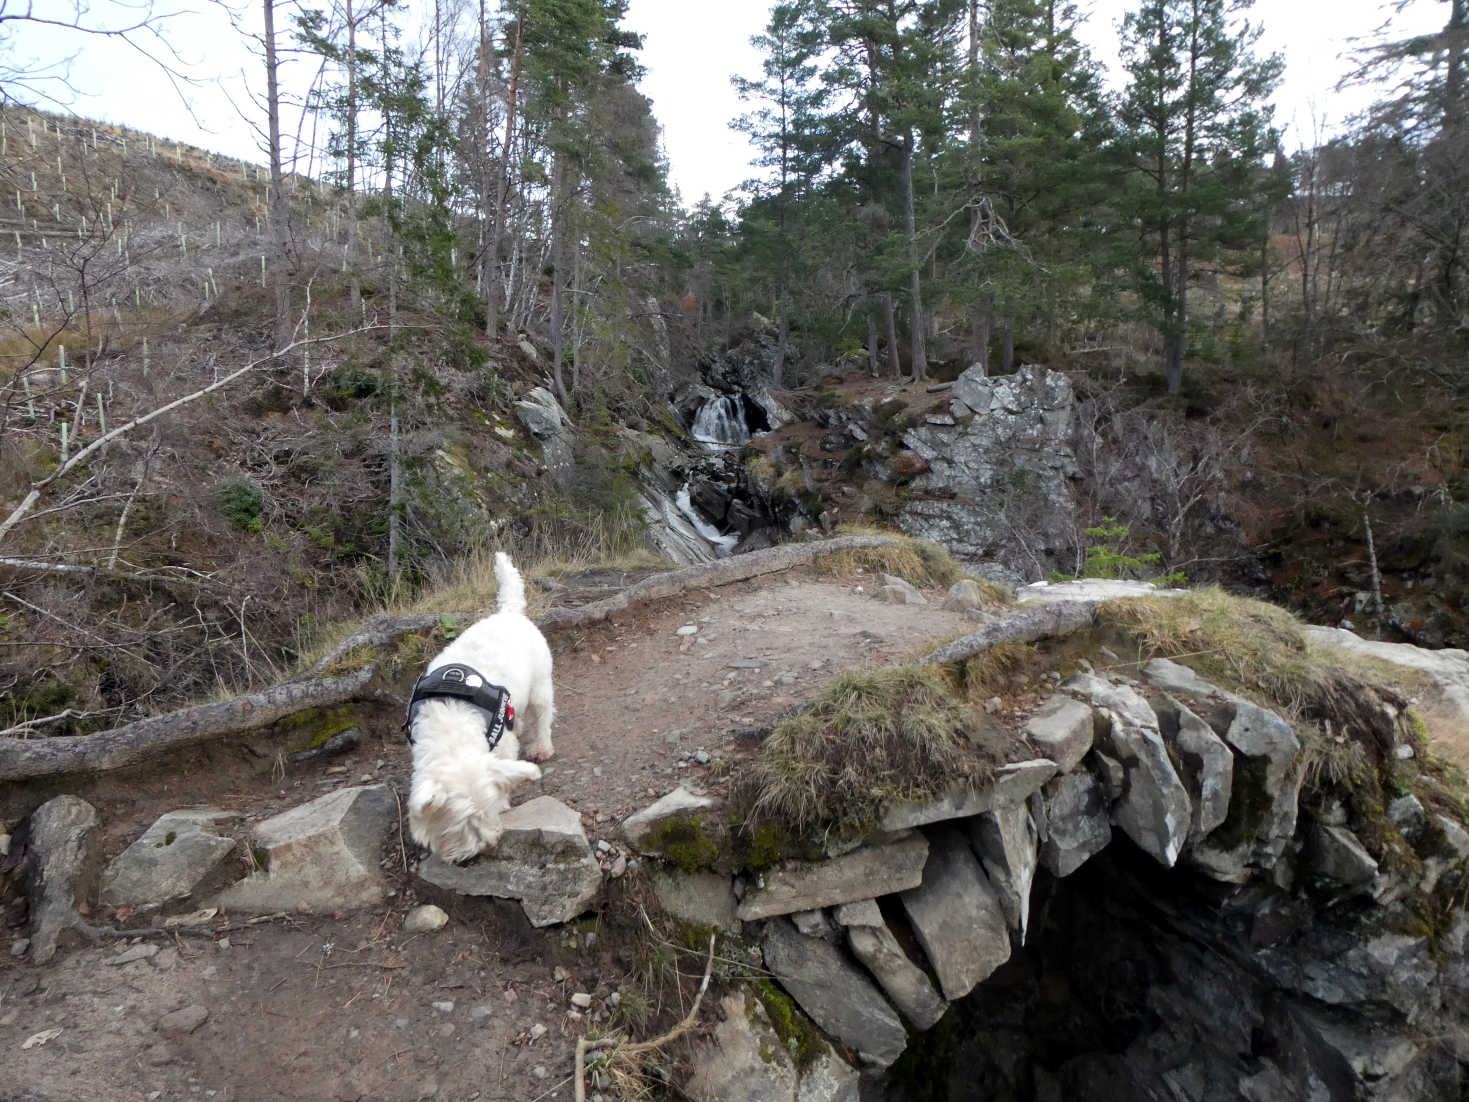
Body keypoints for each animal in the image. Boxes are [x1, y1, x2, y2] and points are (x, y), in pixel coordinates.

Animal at [405, 552, 552, 863]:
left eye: (491, 810)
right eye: (463, 824)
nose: (486, 848)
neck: (451, 728)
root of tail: (510, 613)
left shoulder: (501, 745)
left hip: (540, 684)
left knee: (543, 715)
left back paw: (542, 746)